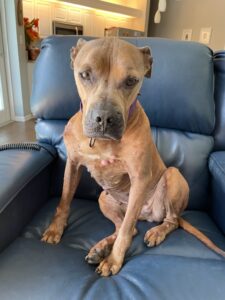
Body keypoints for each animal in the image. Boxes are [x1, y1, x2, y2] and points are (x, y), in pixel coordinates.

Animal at [41, 38, 225, 276]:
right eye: (85, 74)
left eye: (131, 81)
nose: (105, 118)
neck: (101, 142)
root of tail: (147, 214)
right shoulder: (72, 164)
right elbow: (64, 200)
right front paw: (55, 229)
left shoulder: (140, 178)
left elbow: (127, 230)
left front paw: (114, 260)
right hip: (104, 199)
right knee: (129, 226)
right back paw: (100, 248)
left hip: (172, 177)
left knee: (167, 221)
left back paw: (155, 233)